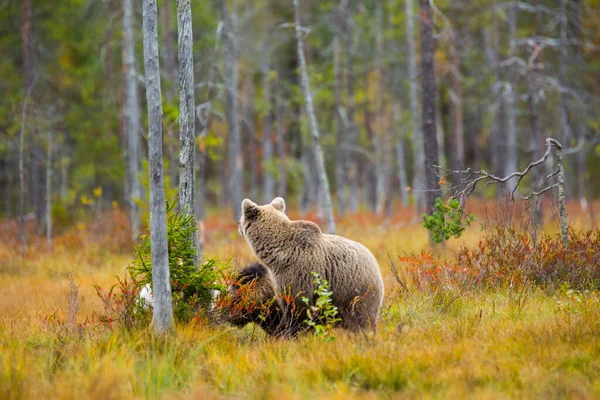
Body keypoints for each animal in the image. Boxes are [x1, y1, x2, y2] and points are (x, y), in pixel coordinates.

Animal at [239, 197, 384, 332]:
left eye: (241, 218)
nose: (238, 227)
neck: (277, 255)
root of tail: (376, 265)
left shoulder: (297, 274)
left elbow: (297, 306)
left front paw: (289, 329)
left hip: (355, 291)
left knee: (360, 319)